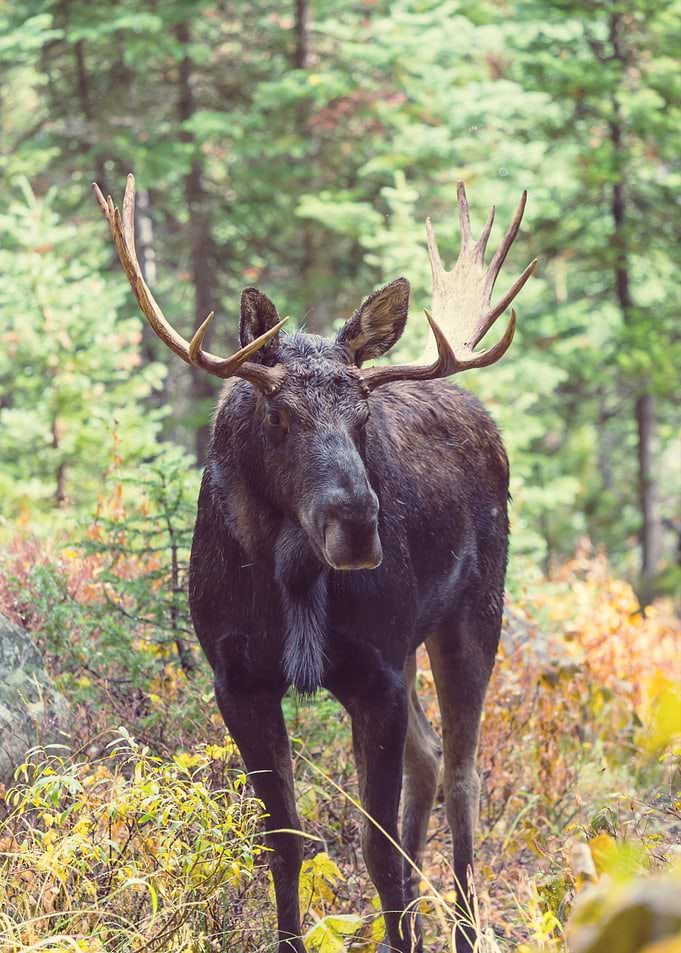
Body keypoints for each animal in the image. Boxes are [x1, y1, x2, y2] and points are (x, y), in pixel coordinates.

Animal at [94, 174, 536, 953]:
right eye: (278, 414)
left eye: (363, 415)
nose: (358, 525)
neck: (292, 580)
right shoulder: (237, 678)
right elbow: (286, 840)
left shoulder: (377, 673)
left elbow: (375, 848)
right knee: (430, 758)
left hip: (473, 614)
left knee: (463, 776)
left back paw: (459, 929)